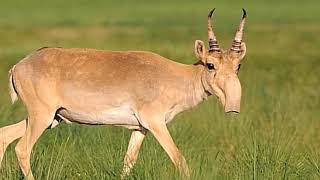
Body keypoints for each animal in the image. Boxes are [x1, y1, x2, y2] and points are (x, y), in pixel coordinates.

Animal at [0, 9, 248, 179]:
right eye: (210, 65)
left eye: (238, 66)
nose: (233, 106)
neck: (176, 75)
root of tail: (19, 66)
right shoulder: (156, 123)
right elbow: (180, 160)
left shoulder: (140, 129)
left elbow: (128, 163)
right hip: (42, 117)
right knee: (22, 149)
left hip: (52, 118)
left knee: (4, 135)